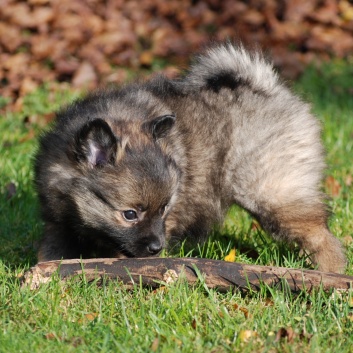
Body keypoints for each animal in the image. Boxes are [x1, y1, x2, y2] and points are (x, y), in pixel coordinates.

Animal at [34, 42, 346, 270]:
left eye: (164, 208)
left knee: (321, 237)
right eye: (130, 214)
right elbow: (52, 248)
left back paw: (329, 276)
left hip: (273, 193)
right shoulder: (58, 222)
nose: (156, 248)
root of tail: (269, 89)